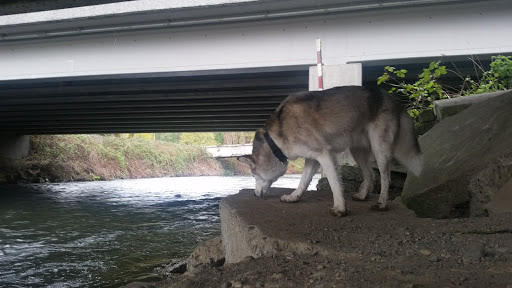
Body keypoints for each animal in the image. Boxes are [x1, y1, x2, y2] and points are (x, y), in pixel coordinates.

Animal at [238, 85, 422, 216]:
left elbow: (334, 183)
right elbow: (303, 181)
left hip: (380, 149)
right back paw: (362, 195)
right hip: (358, 150)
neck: (276, 139)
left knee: (385, 176)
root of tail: (393, 98)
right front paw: (294, 197)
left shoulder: (324, 155)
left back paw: (382, 203)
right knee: (370, 174)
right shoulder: (312, 158)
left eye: (254, 175)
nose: (255, 195)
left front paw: (340, 208)